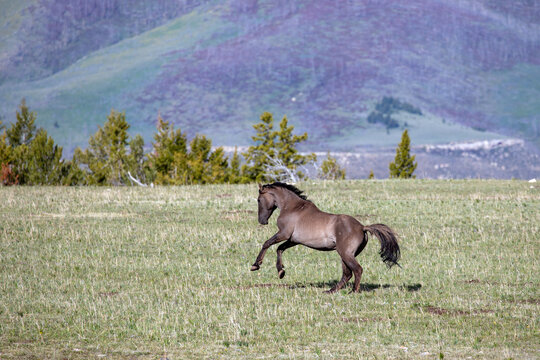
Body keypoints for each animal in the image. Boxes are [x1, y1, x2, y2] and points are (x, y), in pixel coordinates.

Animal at [251, 183, 398, 292]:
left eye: (258, 200)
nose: (262, 221)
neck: (293, 208)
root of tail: (362, 227)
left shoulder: (283, 234)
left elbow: (267, 243)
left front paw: (255, 265)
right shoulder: (293, 240)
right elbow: (279, 249)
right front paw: (281, 272)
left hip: (345, 254)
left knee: (357, 270)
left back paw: (353, 291)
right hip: (345, 255)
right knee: (347, 273)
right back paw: (331, 291)